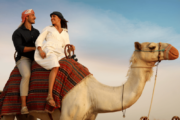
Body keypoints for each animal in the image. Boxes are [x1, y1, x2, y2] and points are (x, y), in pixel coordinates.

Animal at [1, 41, 179, 120]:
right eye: (151, 46)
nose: (175, 51)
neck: (93, 94)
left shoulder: (90, 116)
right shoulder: (67, 115)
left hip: (27, 115)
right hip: (7, 108)